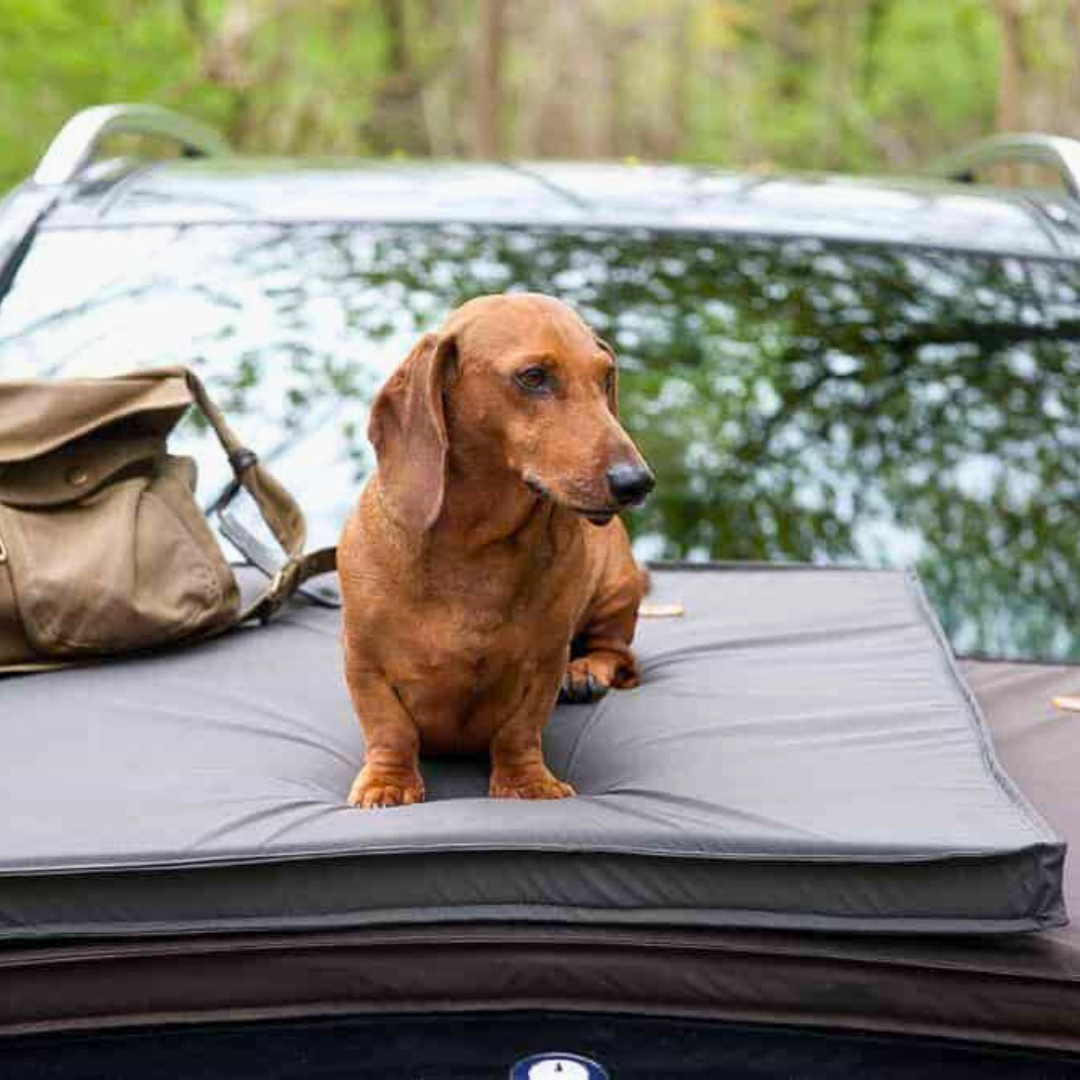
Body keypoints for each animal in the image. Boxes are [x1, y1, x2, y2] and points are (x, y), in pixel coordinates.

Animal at [341, 291, 652, 807]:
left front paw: (528, 784)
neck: (476, 549)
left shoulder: (544, 664)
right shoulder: (365, 663)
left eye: (606, 375)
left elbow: (519, 731)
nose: (637, 483)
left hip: (616, 589)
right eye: (534, 377)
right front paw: (388, 783)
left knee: (618, 652)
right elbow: (390, 729)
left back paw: (586, 671)